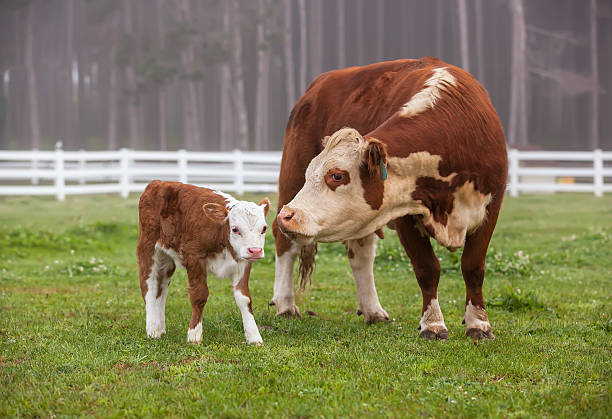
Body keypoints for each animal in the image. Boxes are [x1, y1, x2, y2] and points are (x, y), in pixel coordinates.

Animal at [139, 182, 272, 346]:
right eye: (235, 229)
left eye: (264, 228)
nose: (255, 250)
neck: (220, 233)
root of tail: (157, 182)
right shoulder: (194, 257)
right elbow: (199, 296)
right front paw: (194, 336)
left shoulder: (243, 262)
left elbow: (244, 299)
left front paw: (254, 337)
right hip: (148, 248)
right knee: (149, 286)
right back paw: (153, 330)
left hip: (167, 259)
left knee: (161, 289)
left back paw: (160, 327)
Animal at [274, 58, 510, 342]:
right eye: (310, 174)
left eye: (337, 175)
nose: (289, 215)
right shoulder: (405, 213)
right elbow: (427, 269)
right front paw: (433, 324)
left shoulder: (490, 209)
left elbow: (473, 267)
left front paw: (479, 323)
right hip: (289, 180)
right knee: (284, 244)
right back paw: (285, 304)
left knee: (361, 255)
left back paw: (373, 310)